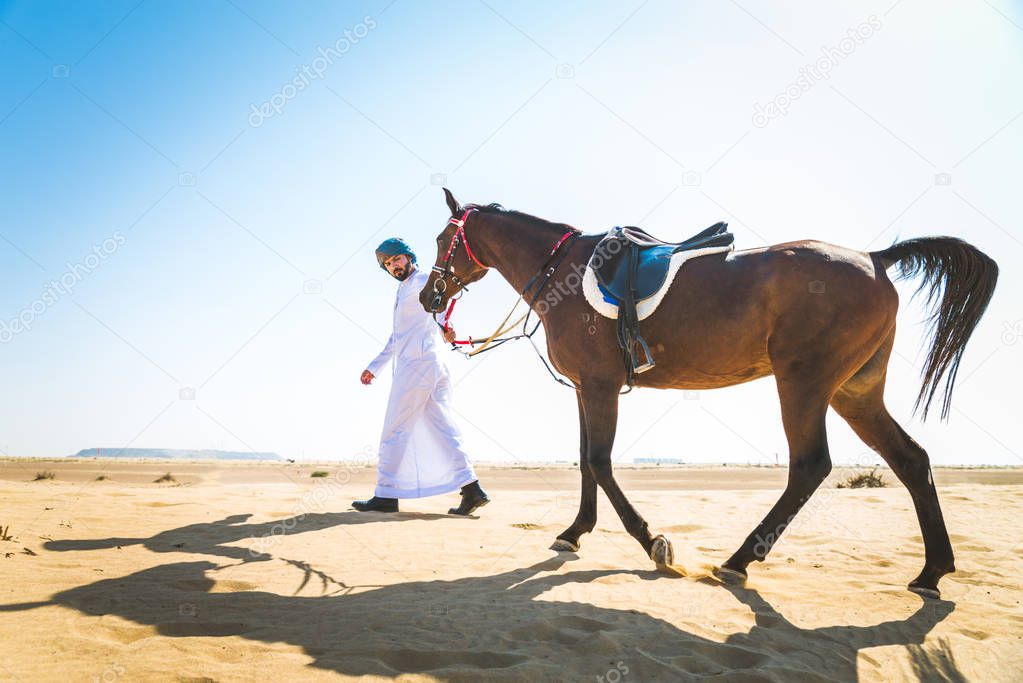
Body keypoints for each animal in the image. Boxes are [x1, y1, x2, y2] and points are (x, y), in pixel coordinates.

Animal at [419, 188, 994, 597]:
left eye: (442, 240)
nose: (428, 295)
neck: (563, 271)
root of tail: (875, 258)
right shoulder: (585, 390)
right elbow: (586, 463)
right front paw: (575, 531)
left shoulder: (601, 387)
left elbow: (601, 464)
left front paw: (653, 542)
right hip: (855, 393)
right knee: (911, 460)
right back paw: (932, 571)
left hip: (805, 385)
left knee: (811, 466)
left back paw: (739, 561)